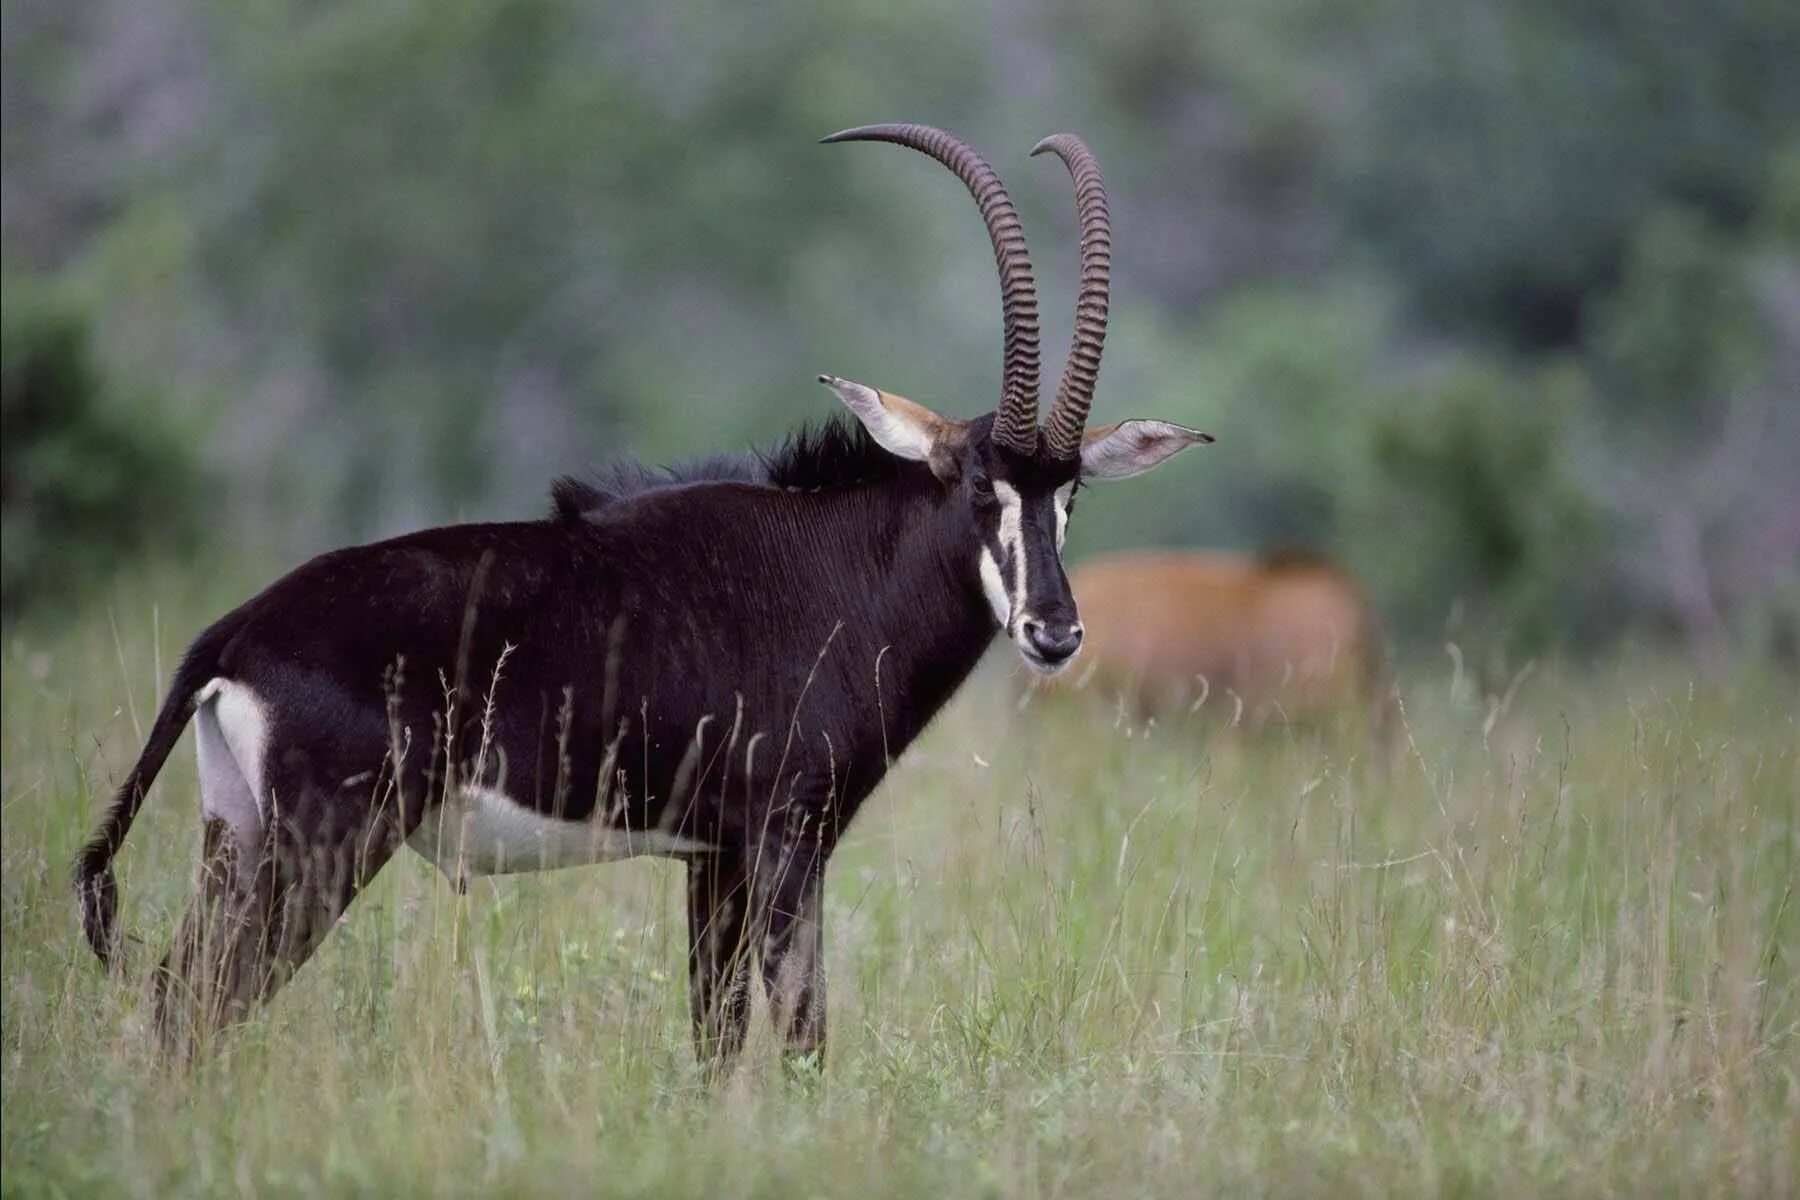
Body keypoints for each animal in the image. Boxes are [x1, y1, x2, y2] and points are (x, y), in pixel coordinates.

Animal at [70, 124, 1209, 1072]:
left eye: (1071, 494)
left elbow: (722, 1034)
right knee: (209, 1000)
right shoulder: (783, 842)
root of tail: (233, 635)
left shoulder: (718, 856)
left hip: (238, 838)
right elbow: (790, 1033)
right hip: (325, 846)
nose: (1053, 631)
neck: (834, 566)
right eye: (979, 488)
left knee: (178, 996)